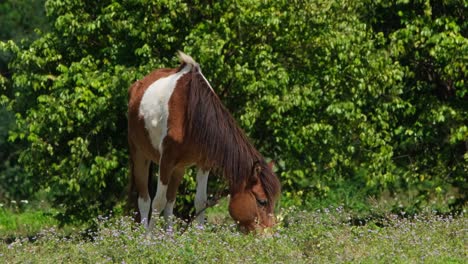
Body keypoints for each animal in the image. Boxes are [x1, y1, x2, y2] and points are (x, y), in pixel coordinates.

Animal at [127, 51, 282, 233]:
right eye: (261, 201)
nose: (270, 234)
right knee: (145, 200)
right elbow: (158, 202)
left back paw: (169, 235)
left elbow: (200, 202)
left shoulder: (204, 163)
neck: (191, 114)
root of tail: (137, 86)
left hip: (179, 167)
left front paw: (199, 236)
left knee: (171, 201)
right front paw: (149, 238)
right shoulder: (166, 160)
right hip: (139, 154)